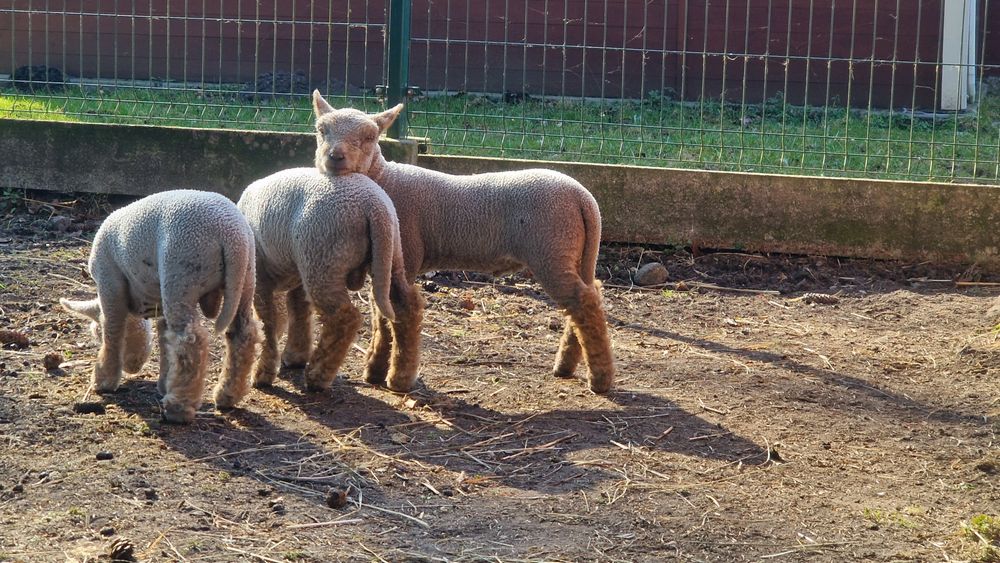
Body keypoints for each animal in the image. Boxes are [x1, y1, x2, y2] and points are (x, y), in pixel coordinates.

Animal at [59, 190, 260, 424]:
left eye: (96, 333)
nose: (133, 367)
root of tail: (232, 236)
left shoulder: (110, 282)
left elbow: (113, 331)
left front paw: (103, 379)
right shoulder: (159, 301)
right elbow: (165, 339)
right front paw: (164, 382)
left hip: (181, 273)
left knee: (190, 341)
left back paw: (178, 408)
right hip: (245, 279)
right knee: (242, 334)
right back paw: (227, 395)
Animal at [237, 167, 423, 393]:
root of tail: (375, 207)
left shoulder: (261, 277)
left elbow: (268, 322)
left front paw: (262, 374)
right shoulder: (298, 272)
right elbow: (298, 310)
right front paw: (295, 356)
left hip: (323, 258)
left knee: (345, 317)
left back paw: (318, 376)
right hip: (389, 255)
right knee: (406, 307)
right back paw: (400, 378)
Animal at [310, 91, 615, 393]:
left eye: (370, 137)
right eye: (321, 130)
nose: (335, 157)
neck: (385, 179)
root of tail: (584, 197)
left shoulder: (403, 261)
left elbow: (400, 314)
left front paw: (398, 378)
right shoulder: (382, 266)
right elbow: (382, 318)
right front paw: (374, 371)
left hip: (551, 250)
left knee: (584, 303)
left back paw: (600, 380)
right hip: (572, 252)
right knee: (586, 299)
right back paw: (566, 366)